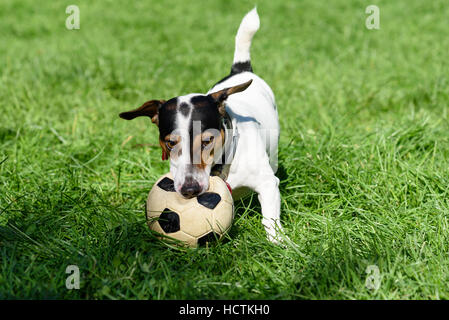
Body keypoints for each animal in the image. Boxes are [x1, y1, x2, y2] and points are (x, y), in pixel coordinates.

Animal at [120, 8, 284, 242]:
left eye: (207, 141)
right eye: (171, 143)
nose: (189, 190)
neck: (223, 163)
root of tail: (241, 71)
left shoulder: (267, 183)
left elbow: (270, 218)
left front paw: (279, 243)